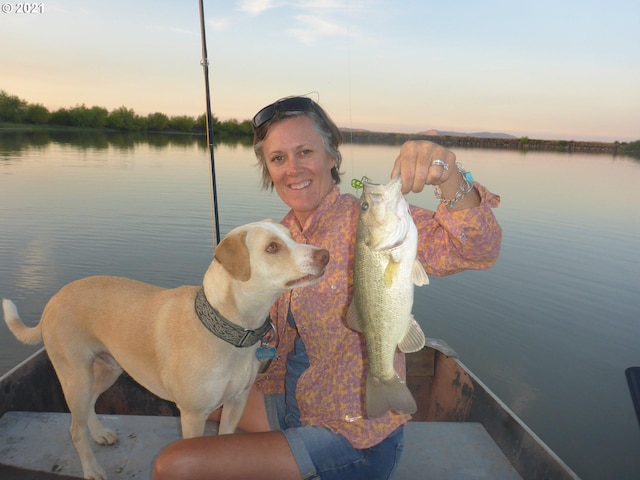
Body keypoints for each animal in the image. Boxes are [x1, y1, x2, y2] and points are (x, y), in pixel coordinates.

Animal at [1, 219, 330, 478]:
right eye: (272, 248)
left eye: (292, 234)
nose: (325, 254)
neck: (227, 329)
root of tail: (53, 300)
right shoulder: (193, 415)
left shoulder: (236, 402)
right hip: (76, 377)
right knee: (74, 429)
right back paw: (92, 470)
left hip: (107, 370)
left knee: (87, 410)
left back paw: (100, 433)